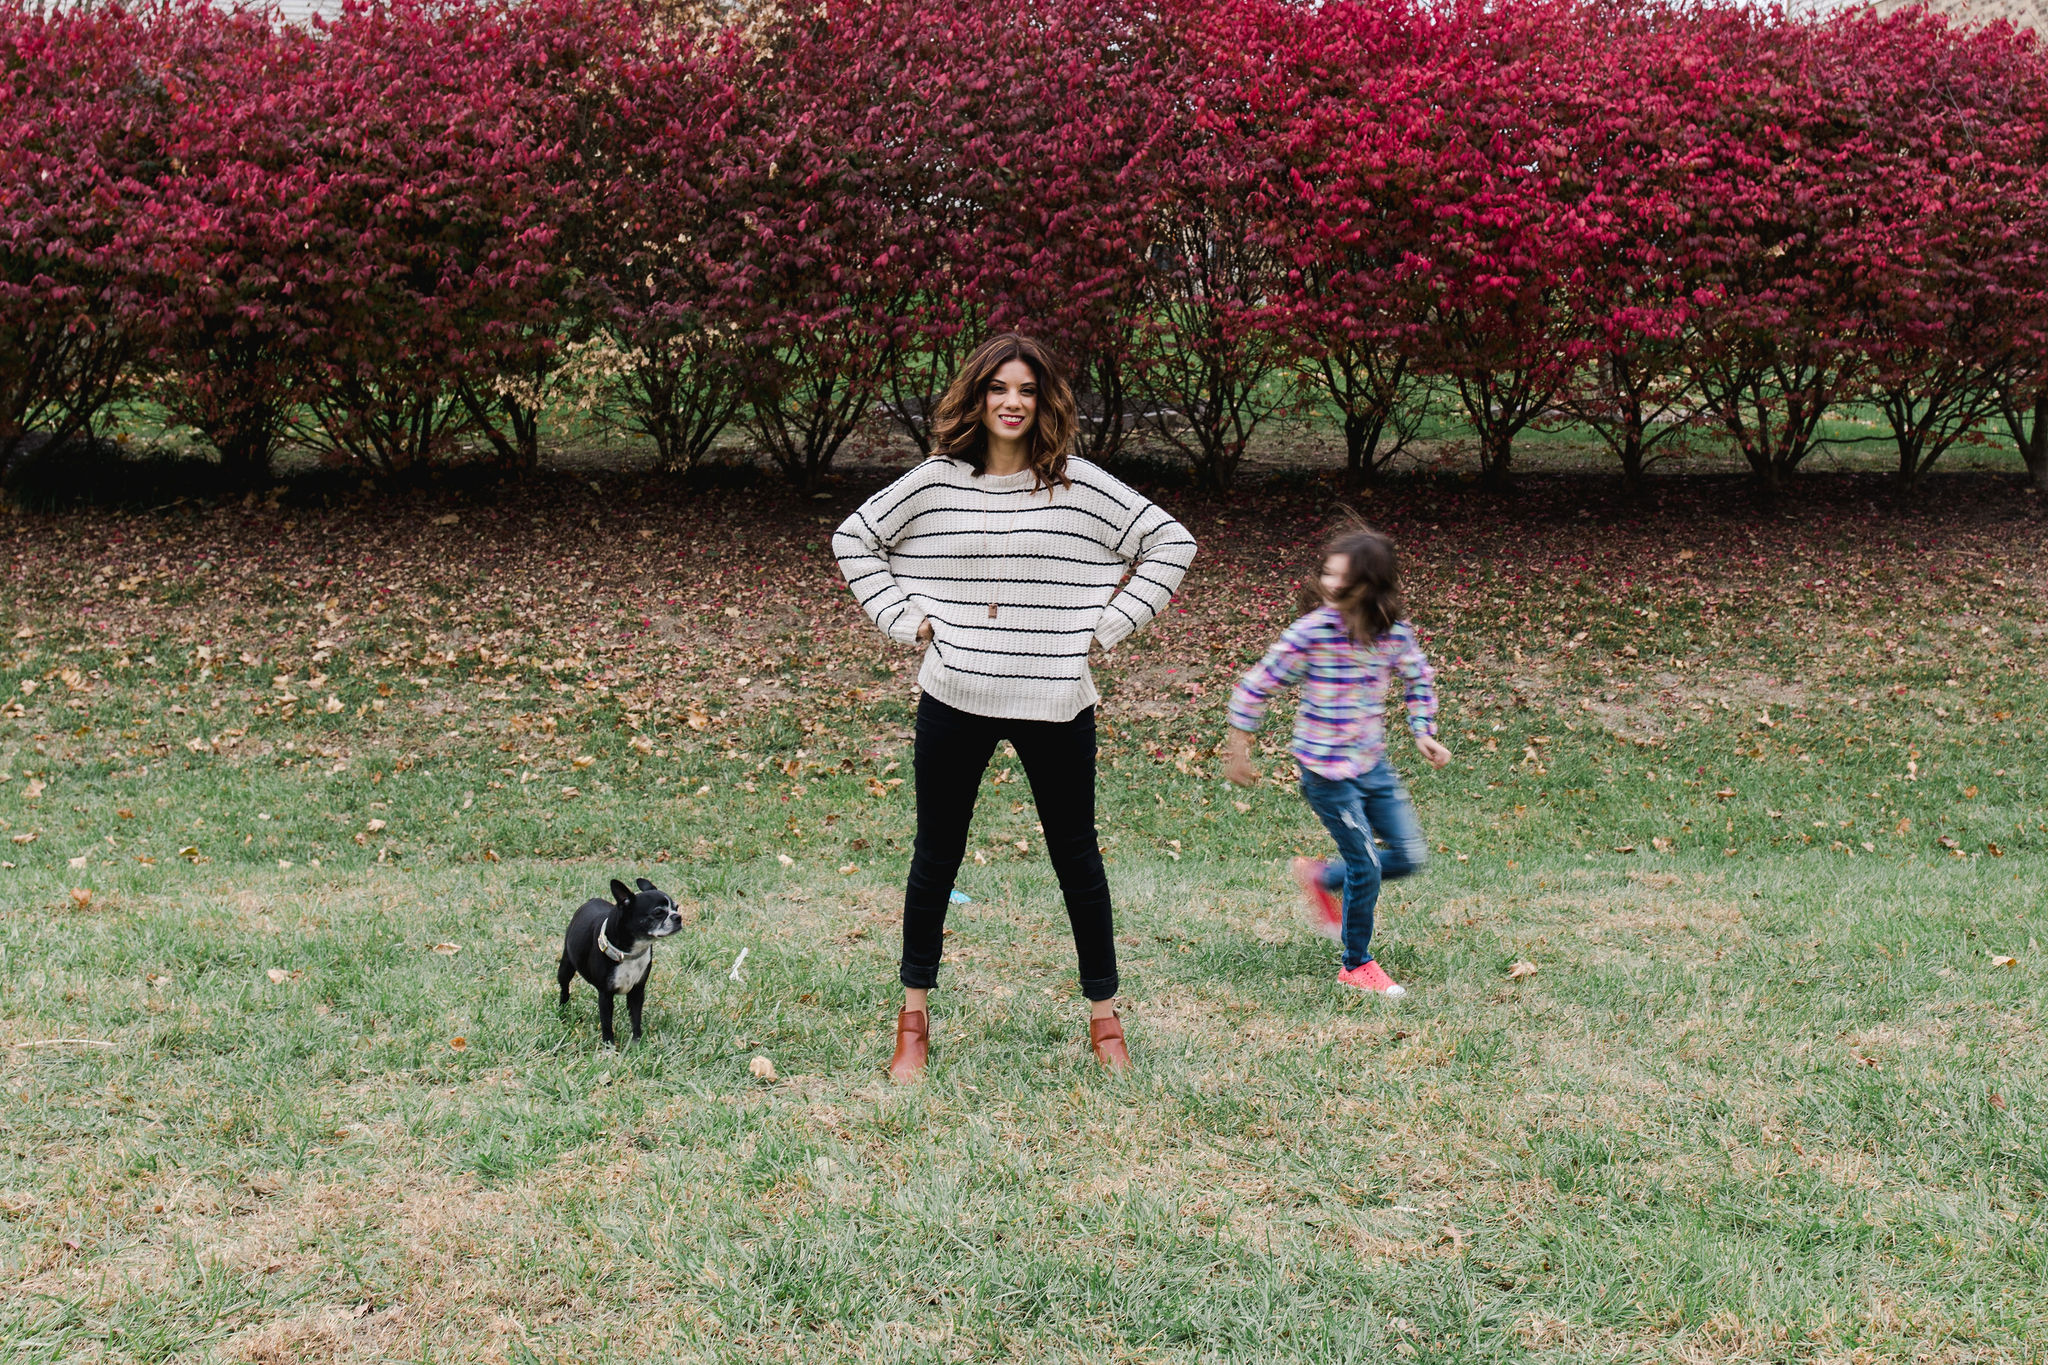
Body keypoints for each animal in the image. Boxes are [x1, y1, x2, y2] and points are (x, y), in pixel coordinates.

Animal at [557, 879, 684, 1039]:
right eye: (658, 913)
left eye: (676, 907)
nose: (678, 917)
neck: (630, 953)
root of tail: (591, 900)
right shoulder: (605, 995)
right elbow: (606, 1023)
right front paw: (609, 1044)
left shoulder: (637, 991)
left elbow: (636, 1018)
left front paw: (637, 1041)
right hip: (565, 967)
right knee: (564, 988)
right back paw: (562, 1012)